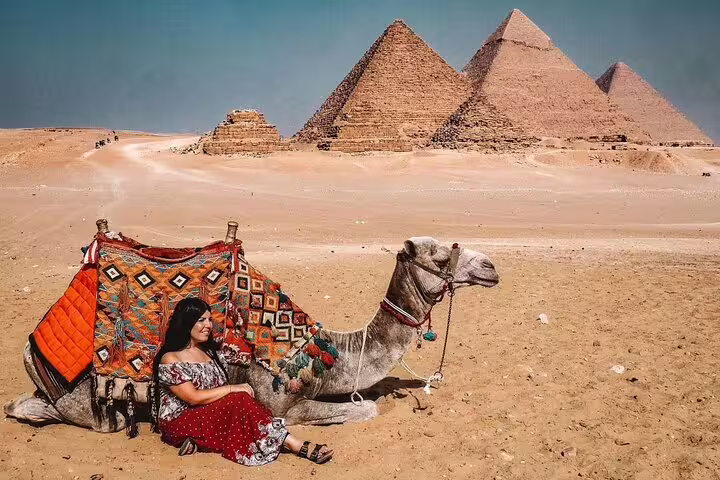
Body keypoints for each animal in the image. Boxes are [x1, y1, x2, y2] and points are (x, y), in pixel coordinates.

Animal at [5, 230, 498, 432]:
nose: (491, 267)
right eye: (440, 257)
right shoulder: (283, 403)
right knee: (49, 409)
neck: (325, 355)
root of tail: (31, 347)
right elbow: (366, 409)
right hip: (81, 399)